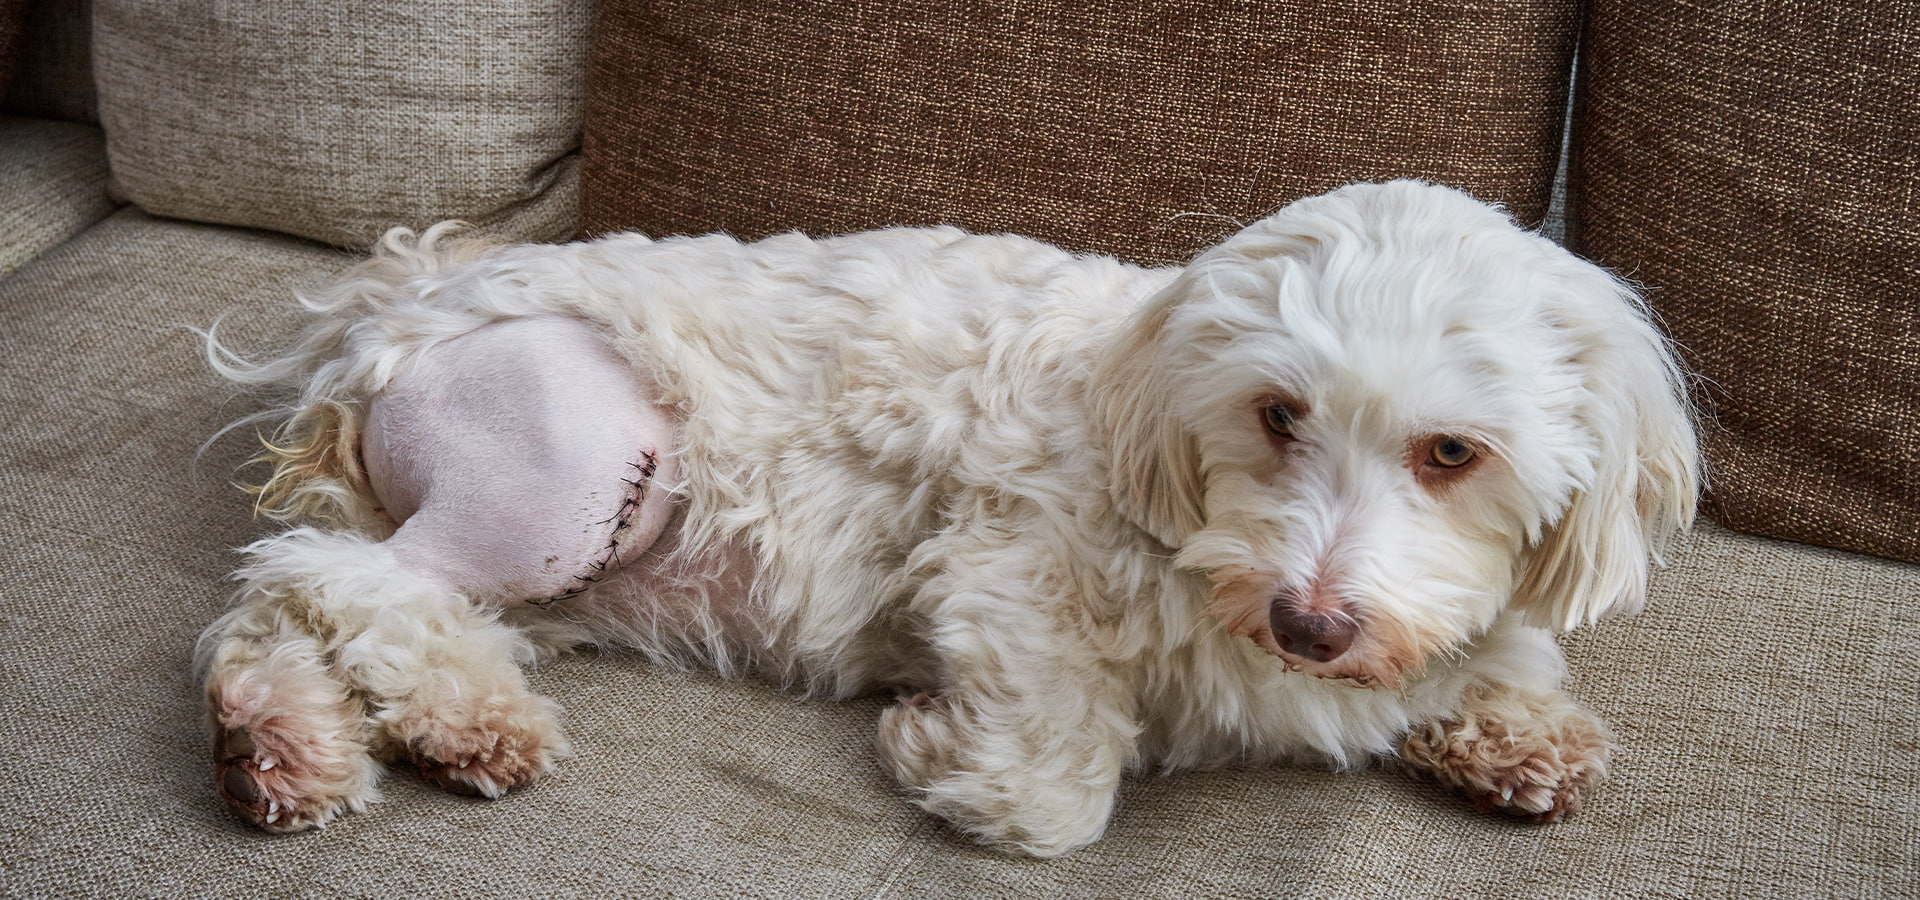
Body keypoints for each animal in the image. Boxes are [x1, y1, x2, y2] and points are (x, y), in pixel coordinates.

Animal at [198, 178, 1697, 852]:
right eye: (1278, 414)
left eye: (1452, 452)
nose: (1310, 622)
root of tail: (400, 298)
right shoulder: (1006, 577)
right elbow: (1059, 794)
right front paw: (940, 751)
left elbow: (1498, 659)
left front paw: (1514, 732)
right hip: (575, 463)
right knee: (342, 573)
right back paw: (462, 722)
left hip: (552, 571)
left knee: (290, 597)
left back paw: (282, 744)